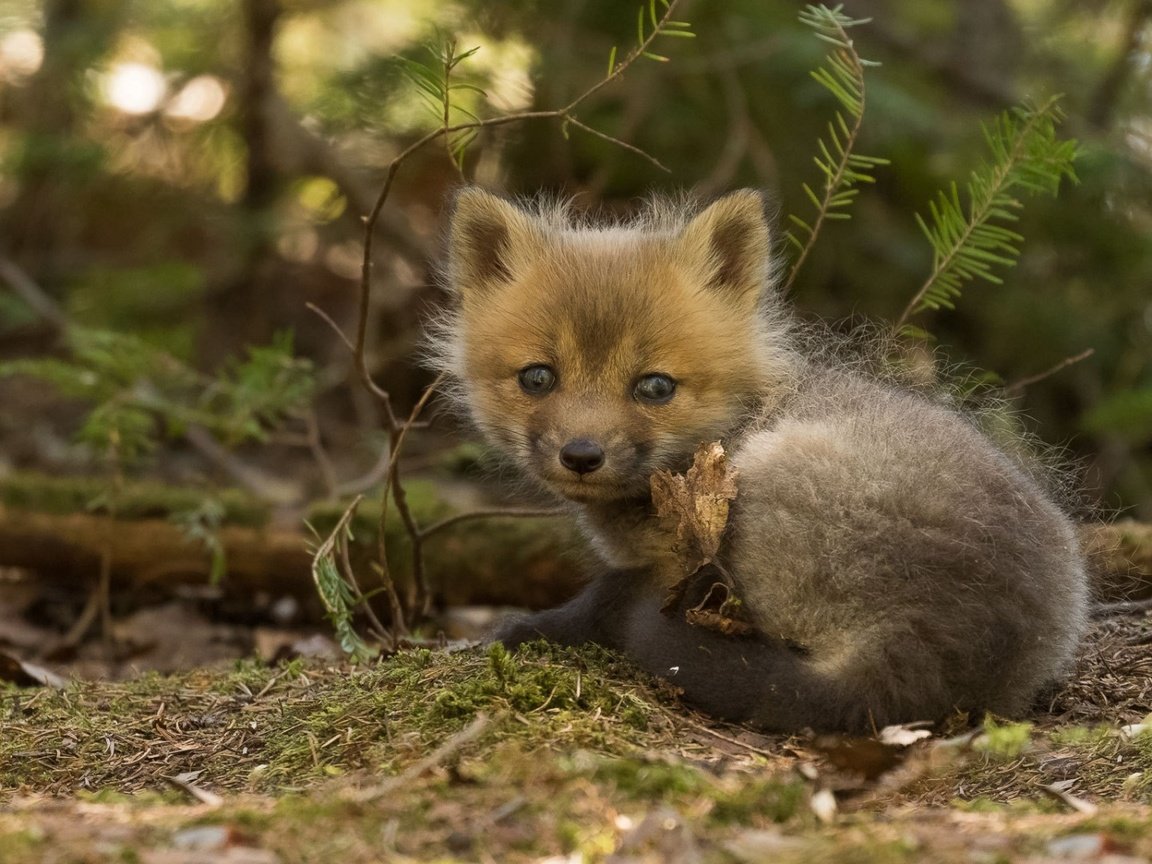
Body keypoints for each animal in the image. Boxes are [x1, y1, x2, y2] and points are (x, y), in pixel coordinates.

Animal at [433, 186, 1087, 732]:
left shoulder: (672, 563)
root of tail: (935, 645)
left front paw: (529, 630)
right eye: (538, 377)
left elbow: (601, 603)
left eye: (655, 387)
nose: (581, 455)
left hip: (770, 479)